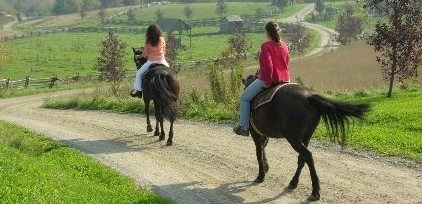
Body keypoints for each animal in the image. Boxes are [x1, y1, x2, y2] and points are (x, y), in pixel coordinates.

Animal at [242, 74, 370, 201]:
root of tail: (309, 97)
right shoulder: (264, 133)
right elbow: (263, 148)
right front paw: (266, 167)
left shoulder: (254, 132)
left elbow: (259, 152)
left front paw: (261, 175)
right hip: (306, 135)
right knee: (302, 158)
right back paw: (294, 183)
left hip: (293, 137)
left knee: (308, 155)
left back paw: (315, 191)